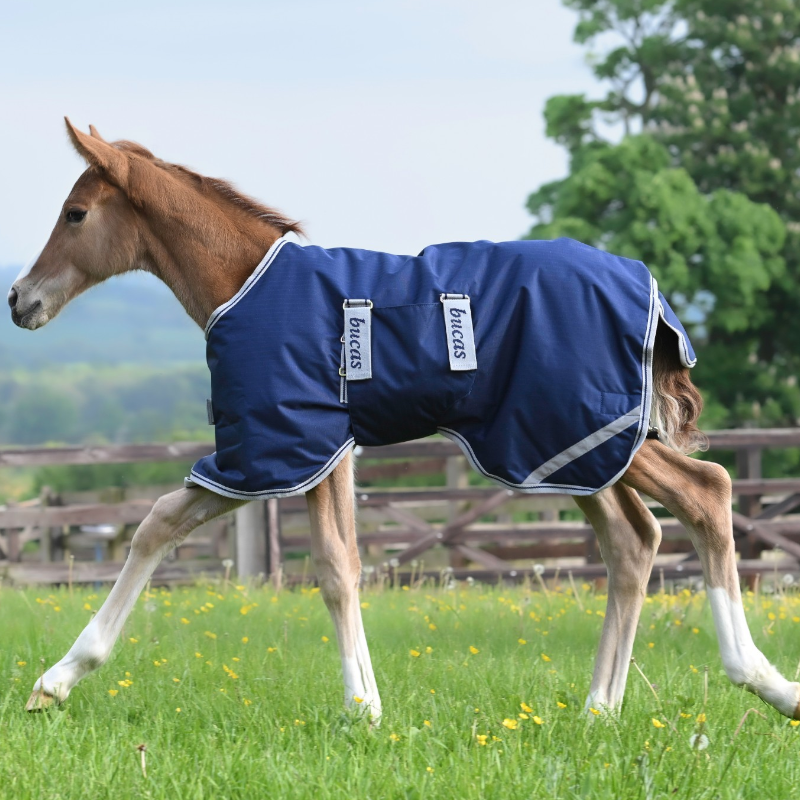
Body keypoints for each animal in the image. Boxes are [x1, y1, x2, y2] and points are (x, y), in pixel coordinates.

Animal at [10, 118, 800, 723]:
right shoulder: (314, 449)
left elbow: (311, 563)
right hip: (569, 449)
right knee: (634, 541)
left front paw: (362, 708)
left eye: (75, 214)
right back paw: (599, 710)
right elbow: (262, 547)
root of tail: (650, 290)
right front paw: (55, 683)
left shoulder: (277, 447)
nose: (20, 299)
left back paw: (762, 681)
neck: (245, 283)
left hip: (581, 431)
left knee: (707, 492)